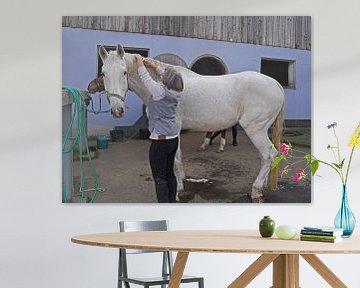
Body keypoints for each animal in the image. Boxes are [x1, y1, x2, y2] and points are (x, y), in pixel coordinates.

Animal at [98, 45, 284, 202]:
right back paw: (262, 186)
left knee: (268, 156)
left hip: (255, 129)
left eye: (124, 72)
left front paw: (178, 190)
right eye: (104, 73)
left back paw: (256, 191)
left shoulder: (174, 129)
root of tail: (276, 84)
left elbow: (176, 159)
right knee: (267, 156)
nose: (117, 110)